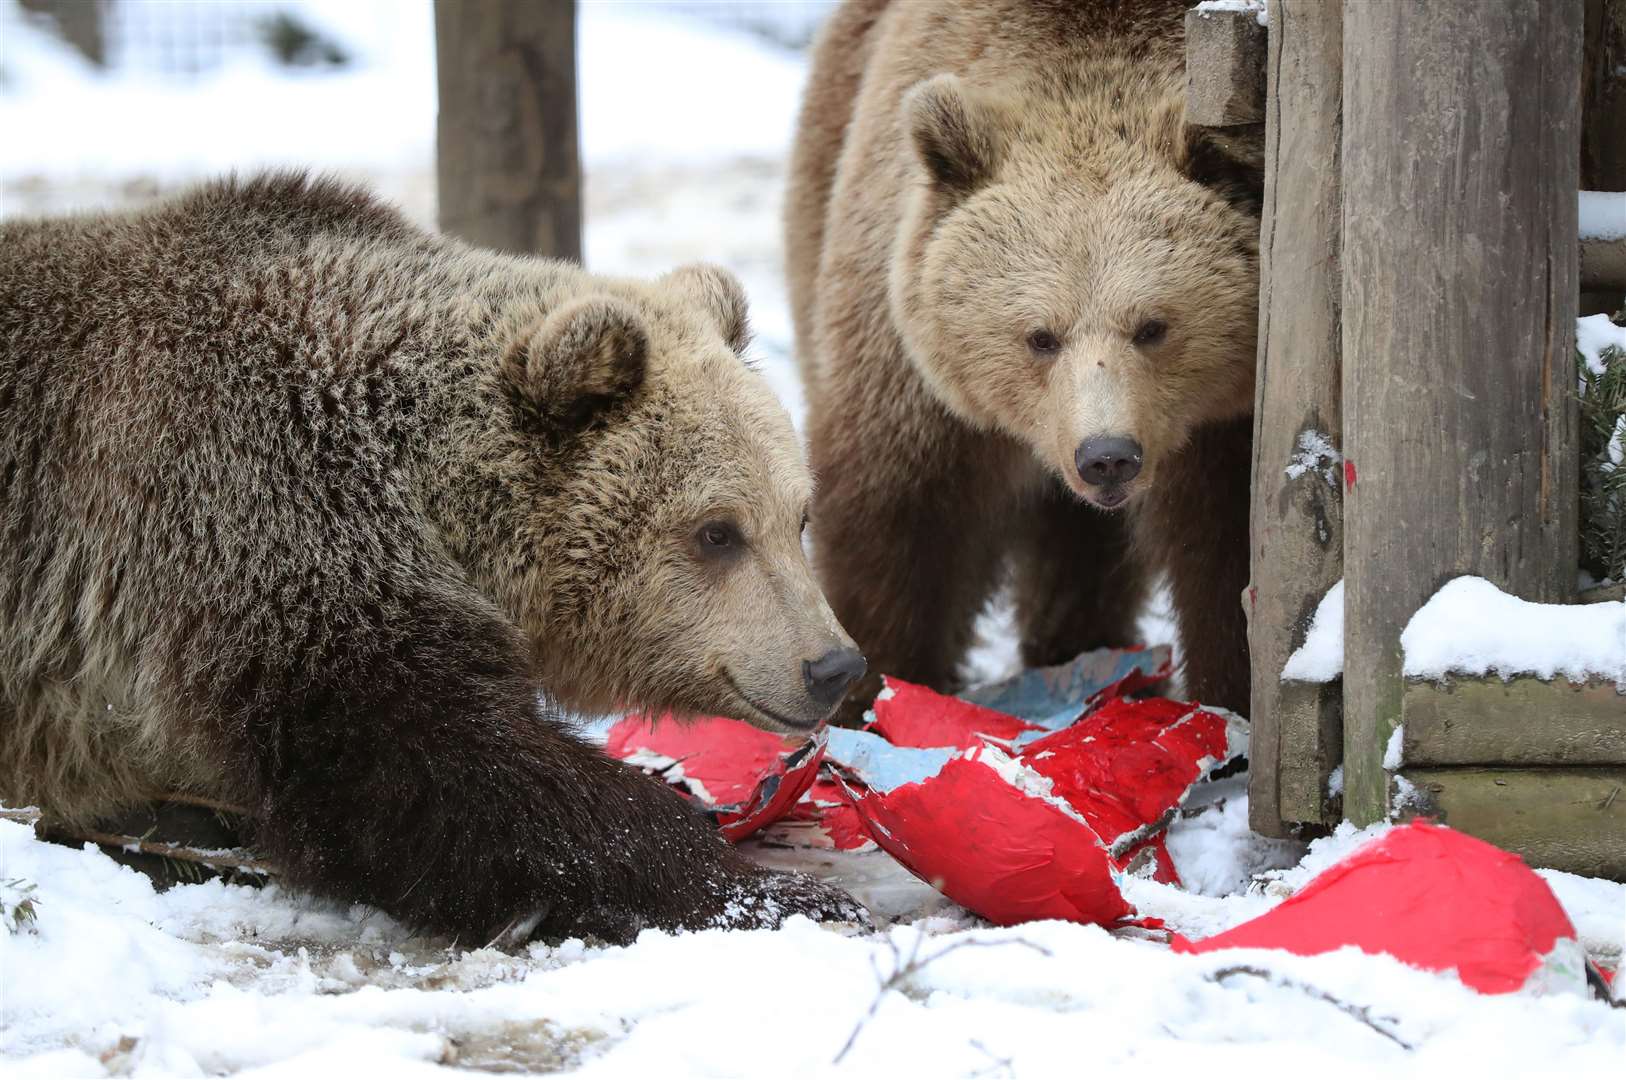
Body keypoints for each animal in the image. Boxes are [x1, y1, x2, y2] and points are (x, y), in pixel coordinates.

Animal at [0, 173, 871, 943]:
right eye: (717, 532)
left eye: (797, 516)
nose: (833, 666)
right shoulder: (248, 504)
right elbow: (431, 768)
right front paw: (772, 895)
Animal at [783, 0, 1255, 722]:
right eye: (1040, 335)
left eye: (1153, 326)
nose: (1107, 456)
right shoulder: (913, 374)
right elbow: (901, 518)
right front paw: (875, 691)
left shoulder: (1223, 419)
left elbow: (1226, 555)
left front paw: (1229, 702)